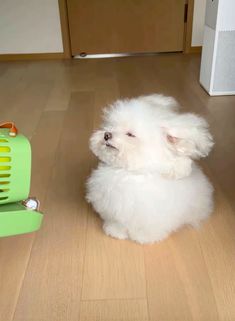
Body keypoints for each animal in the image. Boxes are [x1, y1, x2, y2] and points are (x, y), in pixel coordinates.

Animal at [86, 94, 215, 242]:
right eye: (111, 126)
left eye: (130, 134)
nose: (106, 134)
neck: (130, 173)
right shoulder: (115, 207)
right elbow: (118, 221)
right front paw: (115, 231)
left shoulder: (150, 213)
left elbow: (146, 226)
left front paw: (143, 237)